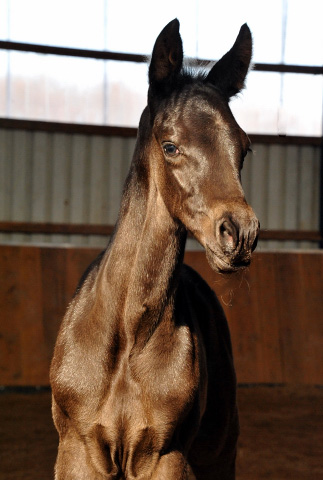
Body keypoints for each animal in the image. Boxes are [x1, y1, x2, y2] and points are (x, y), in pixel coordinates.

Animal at [52, 18, 260, 480]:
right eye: (170, 145)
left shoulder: (166, 456)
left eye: (243, 147)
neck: (128, 336)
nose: (239, 234)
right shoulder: (78, 452)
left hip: (221, 453)